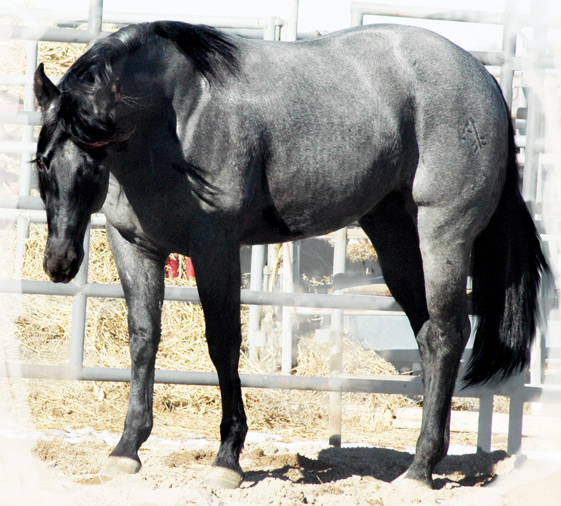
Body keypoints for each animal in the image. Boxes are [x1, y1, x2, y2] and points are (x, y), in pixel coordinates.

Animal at [31, 22, 548, 490]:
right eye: (43, 162)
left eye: (93, 162)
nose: (59, 263)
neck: (176, 116)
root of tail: (484, 79)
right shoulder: (134, 247)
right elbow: (143, 340)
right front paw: (126, 449)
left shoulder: (215, 247)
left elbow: (223, 343)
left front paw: (227, 458)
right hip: (395, 239)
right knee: (426, 334)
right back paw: (425, 459)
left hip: (442, 235)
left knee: (447, 333)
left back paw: (419, 471)